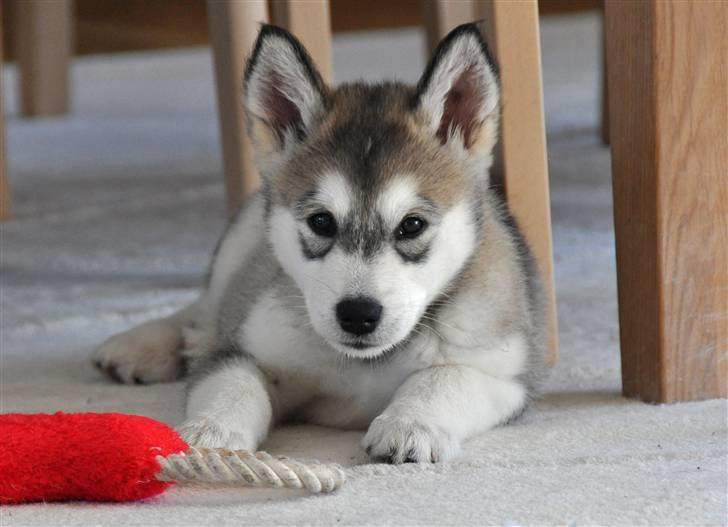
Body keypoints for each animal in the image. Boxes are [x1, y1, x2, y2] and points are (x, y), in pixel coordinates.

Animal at [94, 22, 544, 464]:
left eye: (412, 225)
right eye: (321, 222)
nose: (358, 315)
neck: (363, 364)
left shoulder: (505, 377)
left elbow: (445, 377)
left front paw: (410, 425)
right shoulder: (244, 350)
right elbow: (236, 383)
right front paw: (213, 432)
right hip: (243, 243)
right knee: (207, 305)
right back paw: (147, 345)